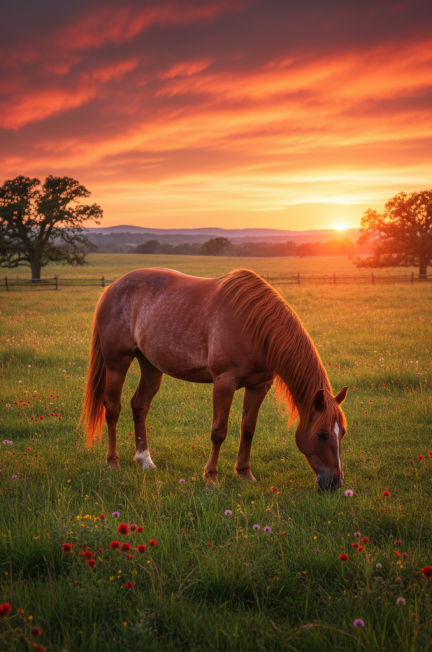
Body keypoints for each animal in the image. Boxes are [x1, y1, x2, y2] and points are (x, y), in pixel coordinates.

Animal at [81, 268, 348, 490]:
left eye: (343, 433)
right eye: (322, 434)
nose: (335, 483)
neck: (254, 325)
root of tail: (112, 287)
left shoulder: (258, 386)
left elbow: (248, 428)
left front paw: (245, 474)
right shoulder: (224, 382)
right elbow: (219, 431)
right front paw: (211, 478)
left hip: (151, 366)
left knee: (140, 406)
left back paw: (145, 460)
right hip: (117, 364)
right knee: (112, 409)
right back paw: (113, 463)